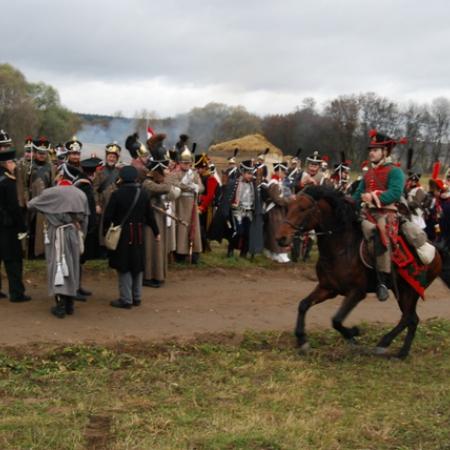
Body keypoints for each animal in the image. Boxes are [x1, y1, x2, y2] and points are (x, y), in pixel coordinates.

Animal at [276, 185, 444, 358]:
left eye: (303, 209)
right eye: (288, 207)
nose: (281, 238)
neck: (341, 248)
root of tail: (435, 249)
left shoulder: (356, 292)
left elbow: (336, 320)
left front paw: (353, 333)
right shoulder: (327, 288)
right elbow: (303, 305)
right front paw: (302, 339)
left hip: (410, 291)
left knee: (408, 317)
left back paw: (384, 344)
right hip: (405, 292)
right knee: (412, 318)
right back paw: (401, 352)